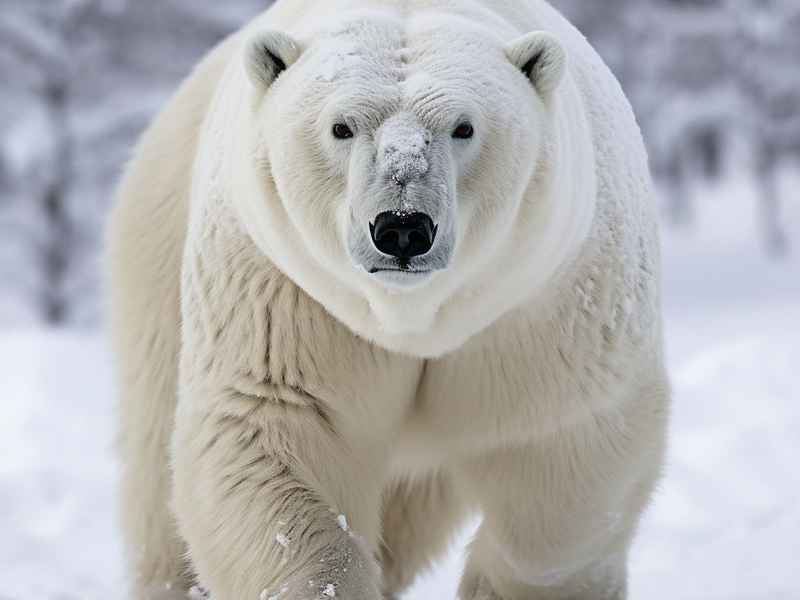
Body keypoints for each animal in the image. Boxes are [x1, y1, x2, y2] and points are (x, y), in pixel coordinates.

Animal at [107, 1, 669, 599]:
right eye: (341, 126)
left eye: (464, 127)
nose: (402, 227)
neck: (413, 317)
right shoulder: (283, 291)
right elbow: (273, 433)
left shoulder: (546, 298)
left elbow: (561, 446)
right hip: (158, 245)